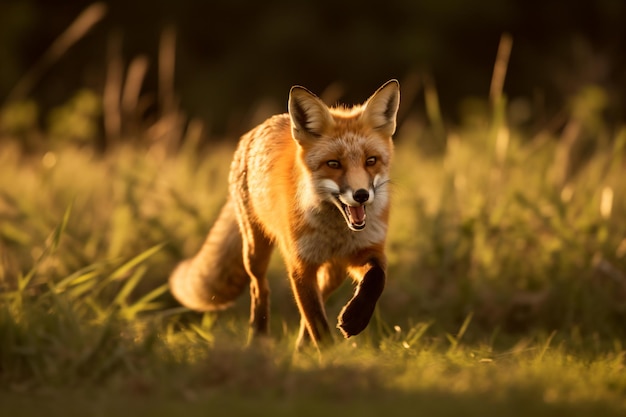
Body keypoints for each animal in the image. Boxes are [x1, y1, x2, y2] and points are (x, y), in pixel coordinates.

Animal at [168, 79, 398, 350]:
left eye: (371, 160)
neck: (335, 233)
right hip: (255, 251)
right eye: (333, 164)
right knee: (259, 289)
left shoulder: (367, 251)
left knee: (319, 297)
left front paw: (355, 318)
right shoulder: (300, 265)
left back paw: (302, 345)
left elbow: (376, 279)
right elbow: (318, 325)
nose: (361, 195)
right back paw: (259, 338)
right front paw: (328, 356)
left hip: (335, 271)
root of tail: (260, 126)